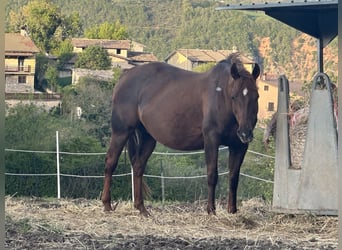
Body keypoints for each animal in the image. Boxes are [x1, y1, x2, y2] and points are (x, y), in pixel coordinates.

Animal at [101, 53, 260, 216]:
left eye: (256, 96)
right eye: (234, 96)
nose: (245, 133)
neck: (221, 96)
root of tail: (124, 77)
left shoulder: (239, 146)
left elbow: (233, 178)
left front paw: (232, 211)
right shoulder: (211, 140)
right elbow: (212, 175)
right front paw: (211, 210)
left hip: (148, 137)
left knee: (138, 166)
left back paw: (141, 208)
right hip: (121, 132)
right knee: (111, 162)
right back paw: (107, 205)